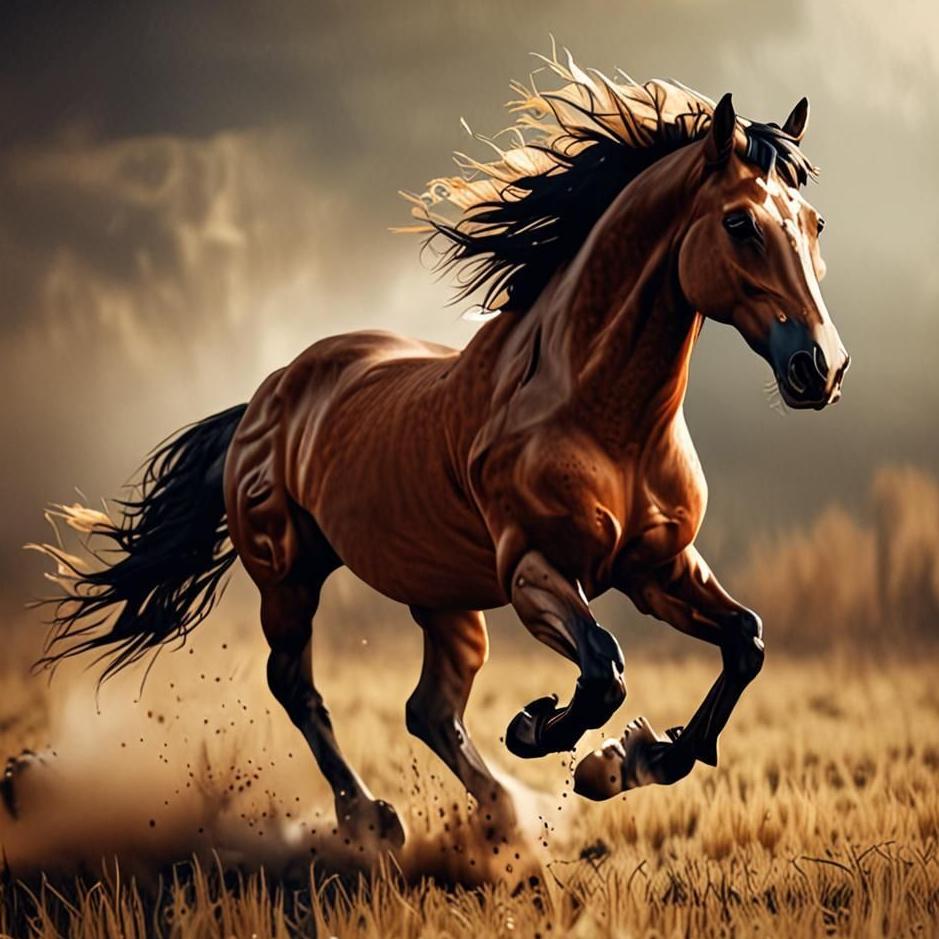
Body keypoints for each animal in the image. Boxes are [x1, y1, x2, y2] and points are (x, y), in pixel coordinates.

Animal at [28, 52, 849, 848]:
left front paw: (637, 756)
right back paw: (373, 818)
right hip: (290, 579)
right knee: (298, 685)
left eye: (812, 223)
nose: (822, 367)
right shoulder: (532, 571)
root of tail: (266, 397)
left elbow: (744, 641)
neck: (602, 417)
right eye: (740, 223)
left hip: (442, 596)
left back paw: (504, 816)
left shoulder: (658, 566)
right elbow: (604, 670)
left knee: (428, 709)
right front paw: (550, 735)